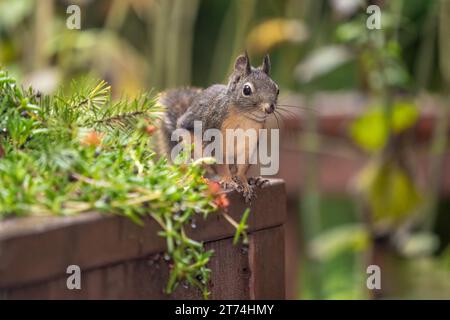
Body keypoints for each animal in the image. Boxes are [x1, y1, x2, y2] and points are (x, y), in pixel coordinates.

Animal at [156, 52, 280, 202]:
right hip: (191, 149)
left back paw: (253, 180)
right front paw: (228, 181)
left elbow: (242, 167)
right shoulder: (215, 134)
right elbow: (221, 164)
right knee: (203, 169)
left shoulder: (249, 143)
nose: (269, 108)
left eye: (277, 89)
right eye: (246, 90)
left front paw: (244, 182)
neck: (245, 118)